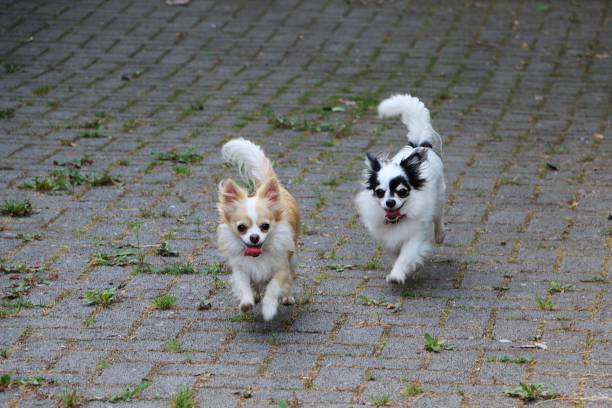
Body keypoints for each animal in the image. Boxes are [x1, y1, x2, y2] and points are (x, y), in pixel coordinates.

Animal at [219, 139, 300, 320]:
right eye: (241, 227)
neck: (258, 254)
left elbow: (273, 287)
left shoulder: (281, 267)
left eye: (265, 227)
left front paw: (269, 309)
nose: (254, 237)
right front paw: (246, 302)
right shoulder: (240, 268)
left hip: (291, 259)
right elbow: (244, 285)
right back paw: (255, 296)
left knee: (288, 281)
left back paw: (287, 296)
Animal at [354, 93, 444, 284]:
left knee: (439, 216)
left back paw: (440, 235)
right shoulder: (388, 240)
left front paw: (397, 274)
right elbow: (395, 255)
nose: (390, 202)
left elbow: (406, 256)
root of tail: (419, 145)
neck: (397, 219)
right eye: (379, 192)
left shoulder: (415, 237)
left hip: (440, 196)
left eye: (402, 191)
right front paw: (407, 269)